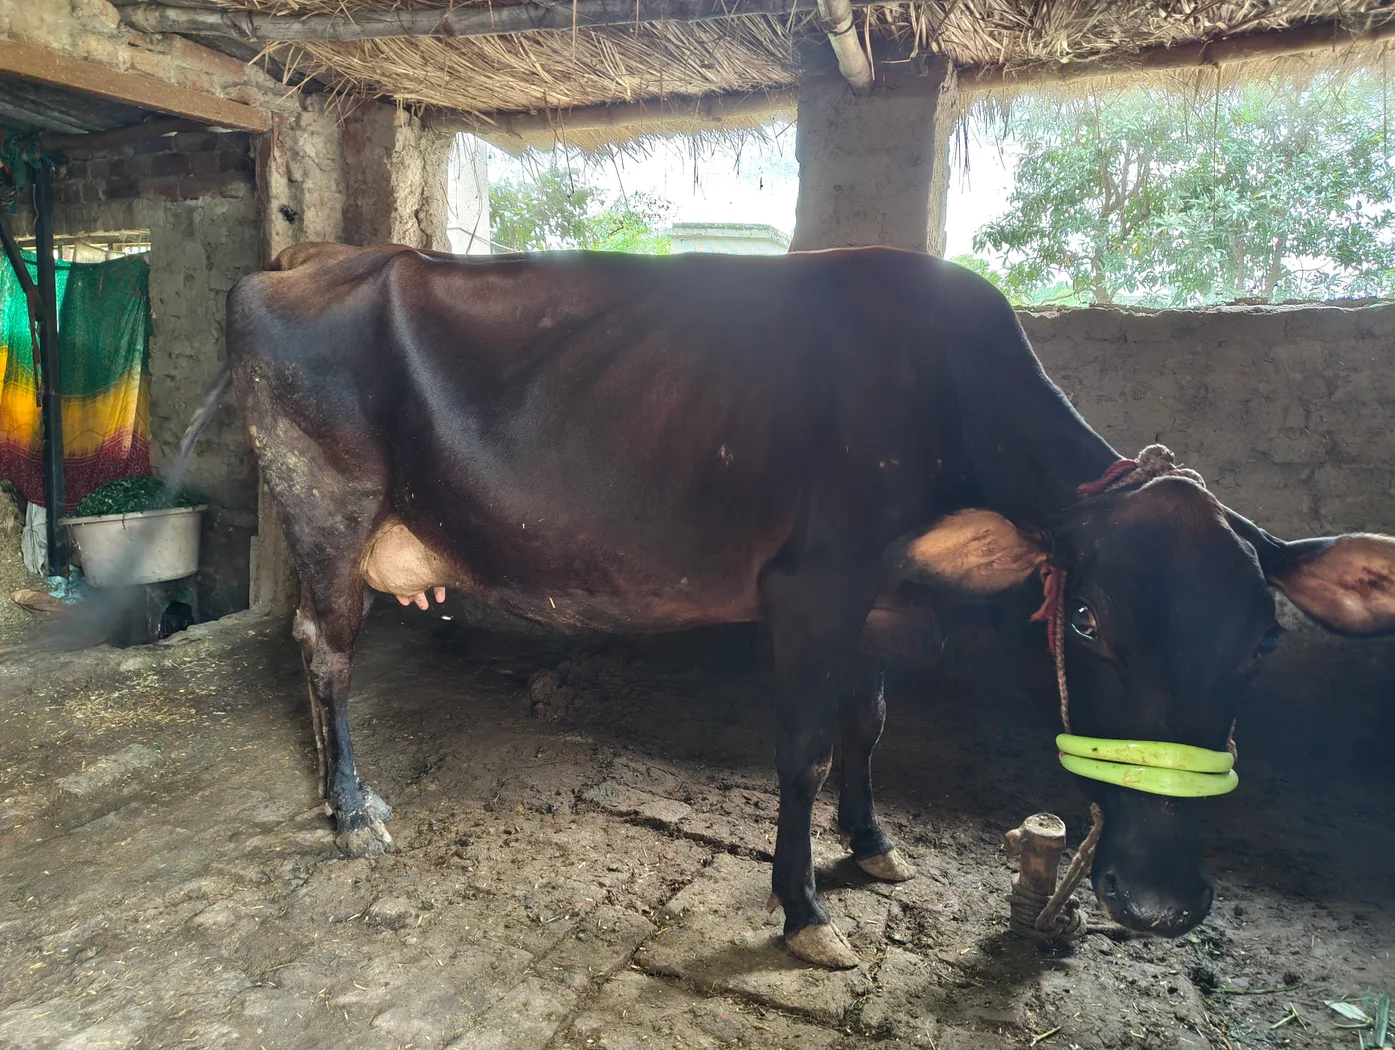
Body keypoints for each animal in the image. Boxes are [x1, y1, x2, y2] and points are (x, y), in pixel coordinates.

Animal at [219, 242, 1395, 969]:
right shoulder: (809, 591)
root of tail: (296, 264)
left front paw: (871, 845)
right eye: (1089, 622)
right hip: (325, 502)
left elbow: (865, 726)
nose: (1155, 901)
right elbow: (801, 754)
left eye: (1262, 645)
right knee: (325, 646)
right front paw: (801, 912)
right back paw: (352, 808)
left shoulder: (875, 600)